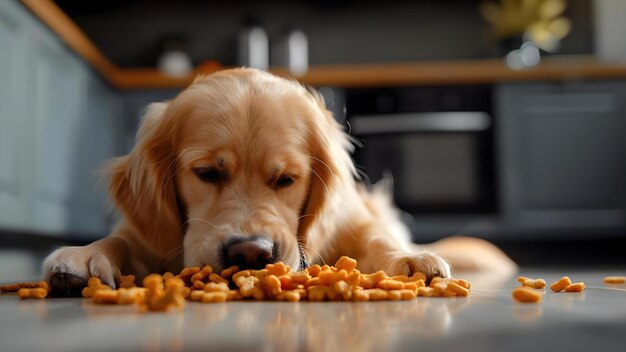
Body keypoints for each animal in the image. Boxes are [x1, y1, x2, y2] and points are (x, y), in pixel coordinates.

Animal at [41, 69, 516, 294]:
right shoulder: (145, 233)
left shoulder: (353, 226)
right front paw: (84, 256)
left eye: (287, 178)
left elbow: (375, 241)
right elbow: (119, 240)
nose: (251, 253)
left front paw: (408, 259)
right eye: (207, 173)